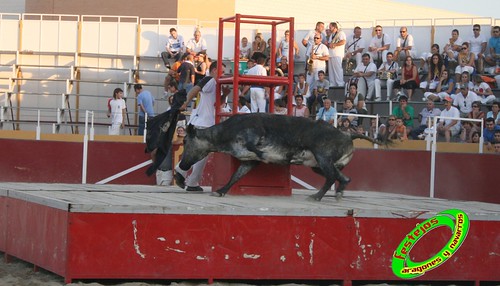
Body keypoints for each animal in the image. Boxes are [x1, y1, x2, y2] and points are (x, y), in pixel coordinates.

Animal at [174, 112, 388, 201]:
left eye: (185, 142)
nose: (182, 165)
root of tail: (347, 134)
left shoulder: (253, 140)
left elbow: (257, 150)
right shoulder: (249, 161)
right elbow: (236, 176)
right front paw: (220, 191)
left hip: (323, 158)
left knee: (332, 178)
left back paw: (317, 196)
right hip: (319, 165)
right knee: (342, 177)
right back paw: (336, 194)